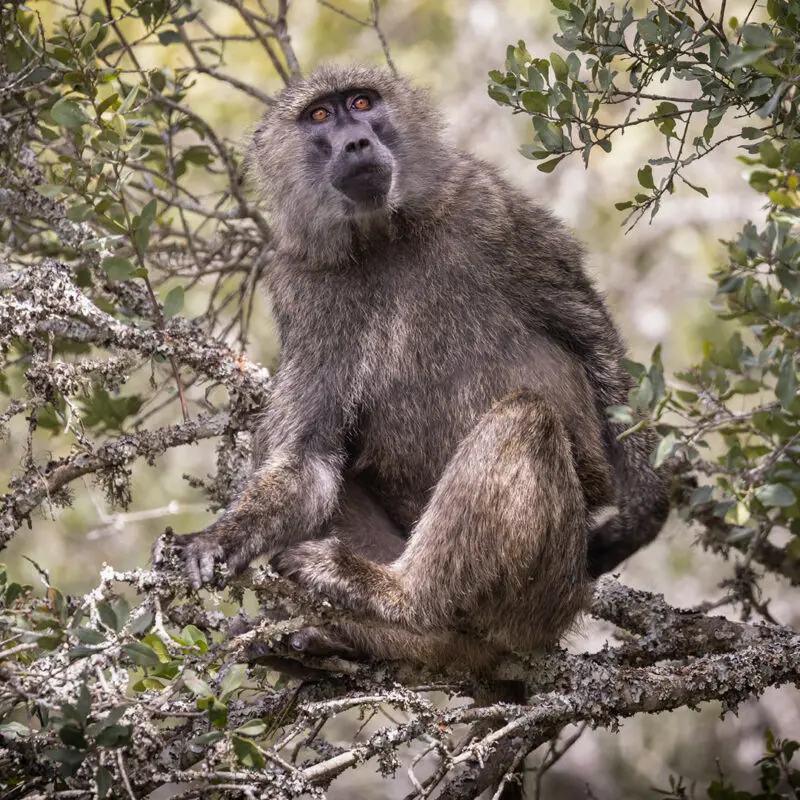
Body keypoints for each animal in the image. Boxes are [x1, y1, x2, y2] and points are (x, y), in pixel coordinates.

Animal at [176, 64, 670, 671]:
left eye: (363, 103)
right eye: (320, 115)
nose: (356, 142)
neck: (384, 237)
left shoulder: (490, 208)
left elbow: (588, 332)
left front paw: (642, 510)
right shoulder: (302, 286)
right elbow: (307, 458)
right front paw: (217, 540)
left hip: (543, 595)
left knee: (525, 419)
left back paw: (397, 595)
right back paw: (337, 636)